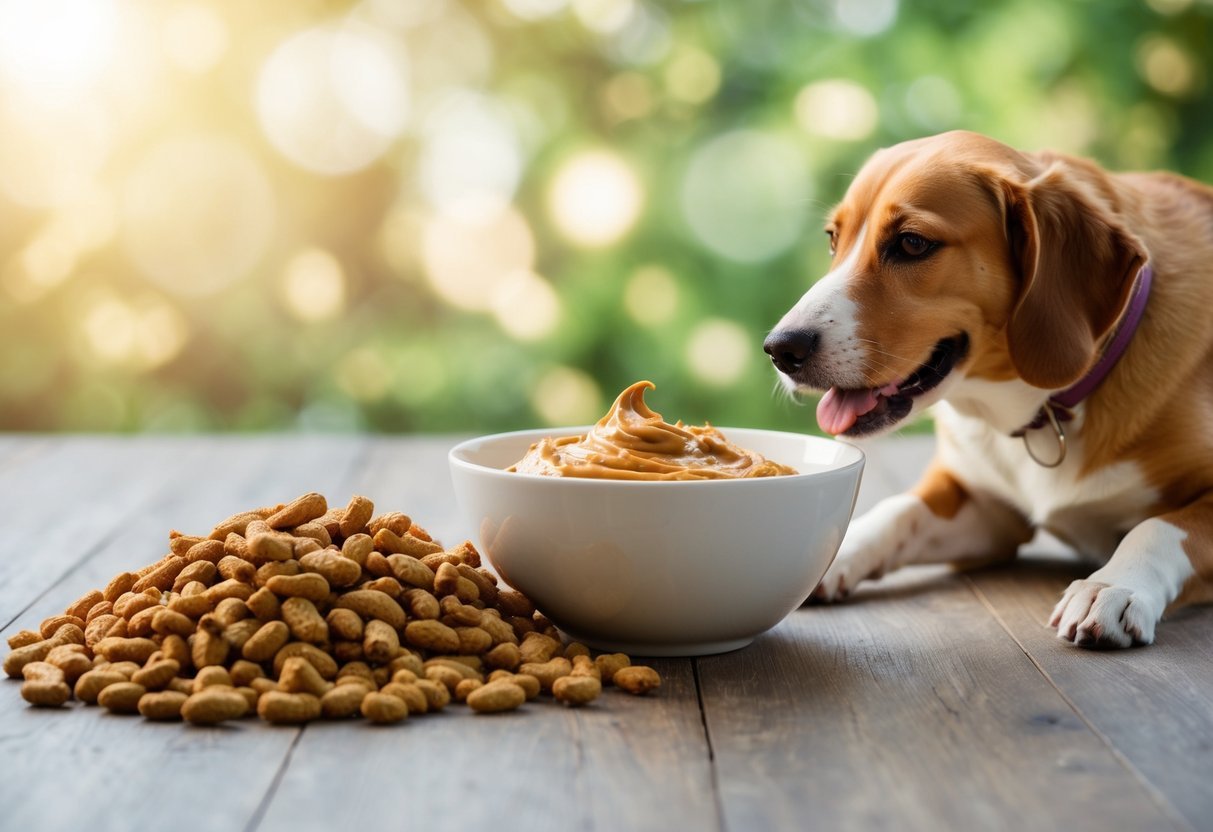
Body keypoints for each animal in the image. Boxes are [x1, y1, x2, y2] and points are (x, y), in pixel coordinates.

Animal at [766, 132, 1213, 650]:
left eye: (912, 243)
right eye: (833, 239)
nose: (780, 348)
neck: (1046, 411)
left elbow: (1159, 528)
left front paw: (1112, 585)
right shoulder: (987, 511)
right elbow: (898, 510)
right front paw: (831, 551)